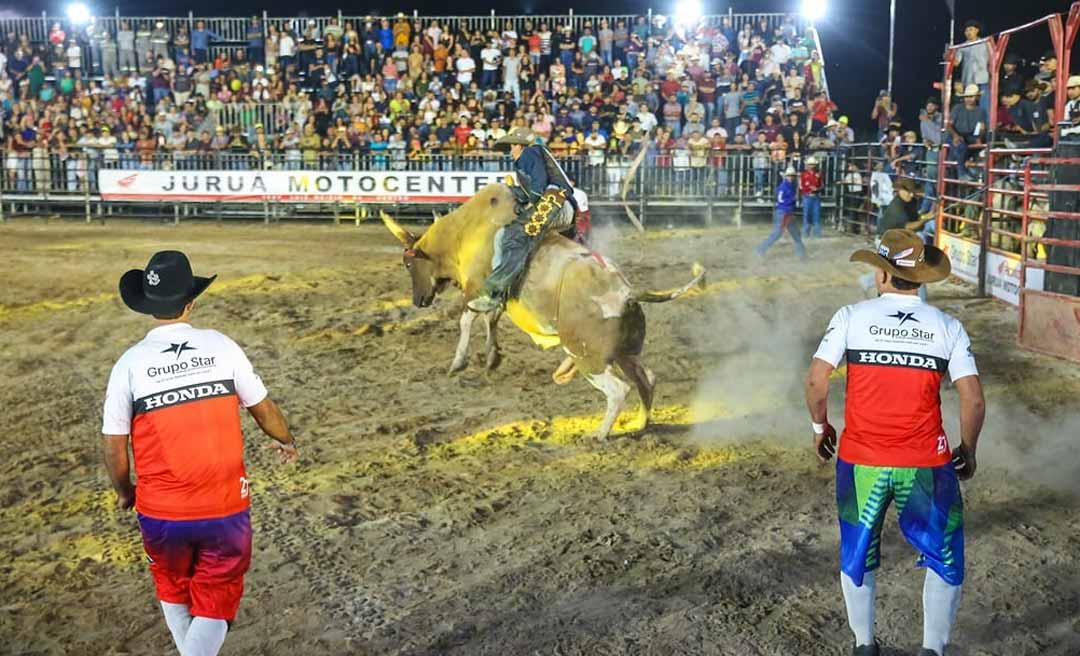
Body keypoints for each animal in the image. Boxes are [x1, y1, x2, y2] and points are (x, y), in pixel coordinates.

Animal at [384, 182, 704, 438]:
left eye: (408, 264)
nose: (418, 300)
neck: (466, 232)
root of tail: (628, 293)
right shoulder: (496, 296)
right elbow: (490, 320)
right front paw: (491, 357)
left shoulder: (477, 289)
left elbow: (468, 319)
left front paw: (459, 363)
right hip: (625, 352)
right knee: (647, 378)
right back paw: (640, 424)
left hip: (589, 357)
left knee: (618, 389)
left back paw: (599, 434)